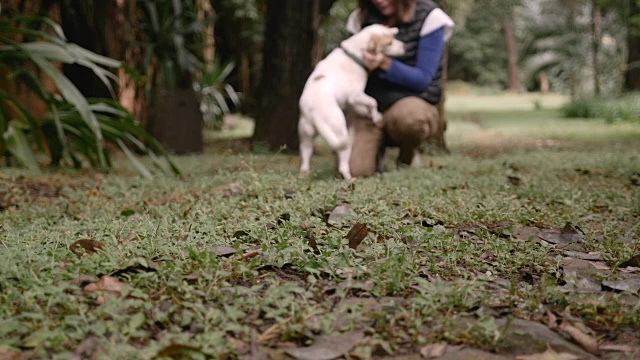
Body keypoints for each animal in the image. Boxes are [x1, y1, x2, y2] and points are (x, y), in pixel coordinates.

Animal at [298, 24, 404, 179]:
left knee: (305, 158)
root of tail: (314, 112)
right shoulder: (355, 96)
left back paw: (304, 173)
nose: (405, 47)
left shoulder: (352, 102)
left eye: (394, 38)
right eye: (390, 43)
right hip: (341, 132)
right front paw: (376, 116)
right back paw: (348, 177)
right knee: (343, 162)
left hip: (306, 137)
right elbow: (373, 102)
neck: (354, 55)